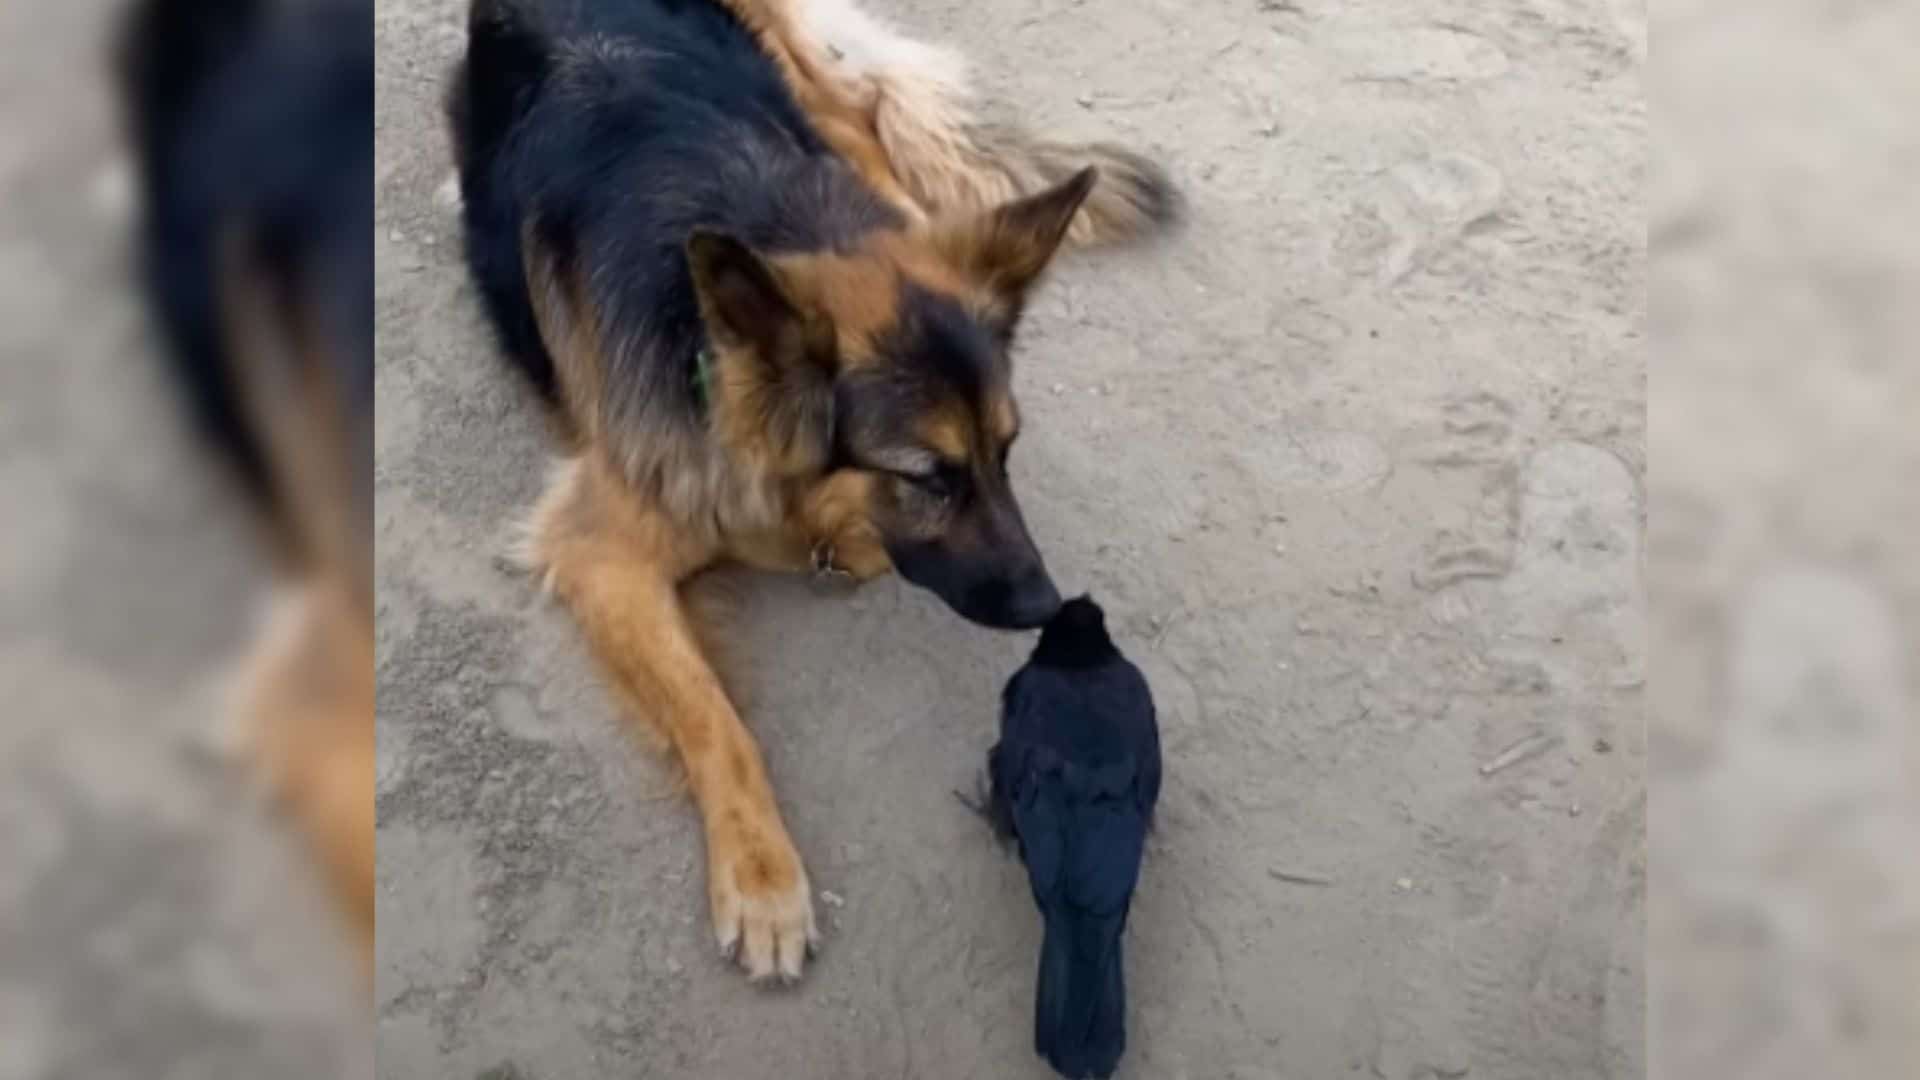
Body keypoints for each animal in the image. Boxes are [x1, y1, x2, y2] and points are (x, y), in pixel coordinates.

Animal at [449, 0, 1175, 980]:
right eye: (929, 476)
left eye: (1007, 451)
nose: (1046, 606)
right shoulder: (600, 550)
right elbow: (714, 719)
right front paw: (762, 882)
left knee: (862, 116)